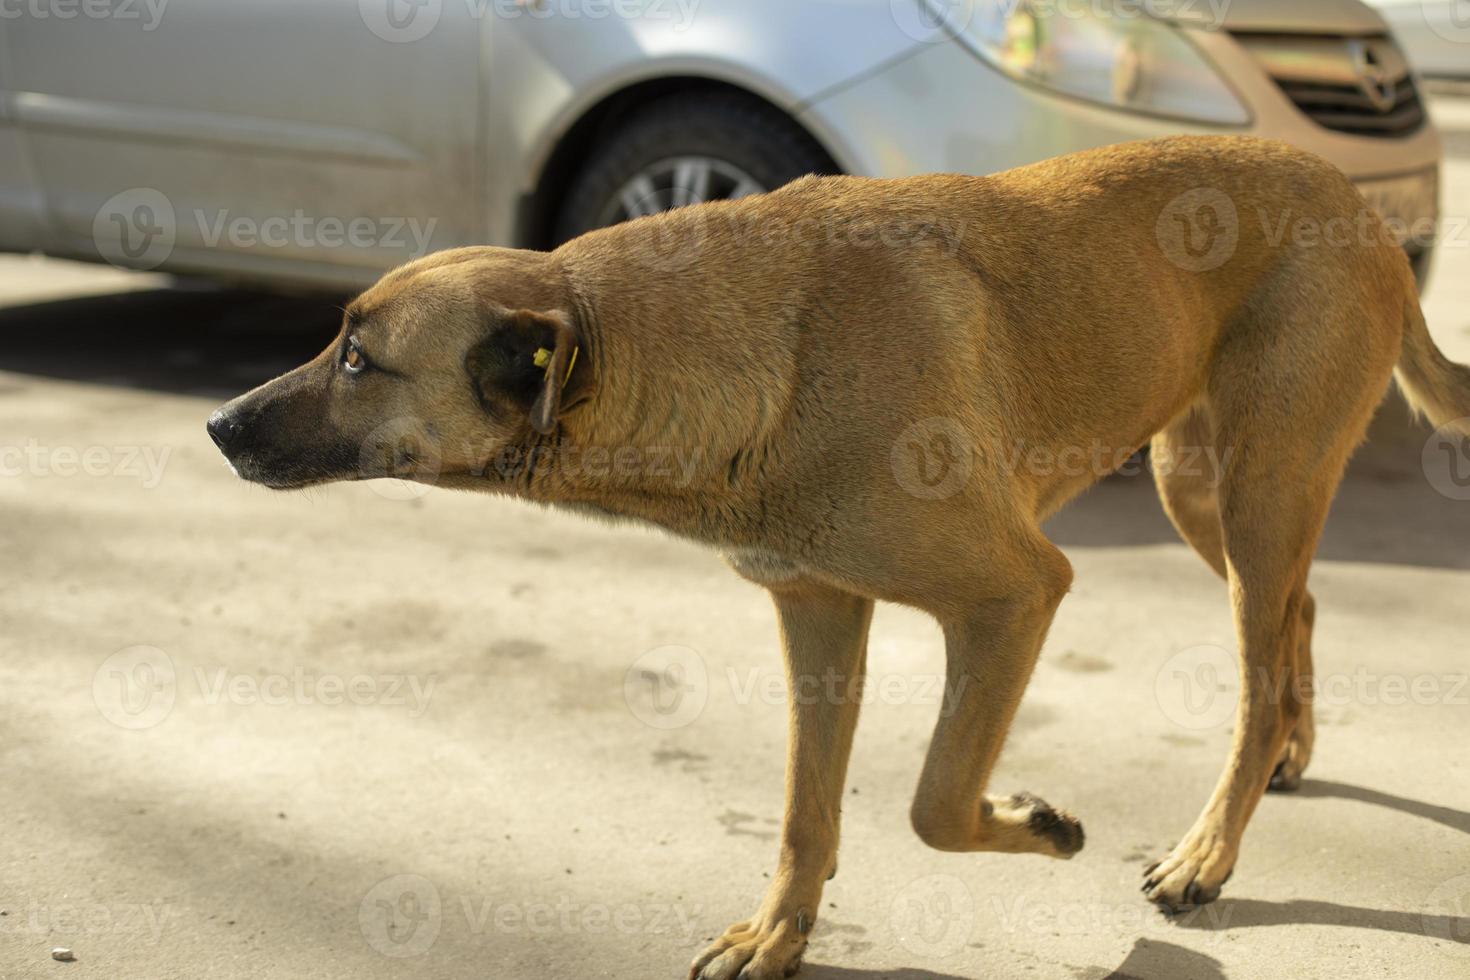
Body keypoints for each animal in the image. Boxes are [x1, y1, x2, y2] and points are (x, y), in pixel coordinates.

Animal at [207, 138, 1470, 980]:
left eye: (359, 358)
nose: (217, 425)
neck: (751, 353)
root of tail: (1356, 201)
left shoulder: (1016, 593)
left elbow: (933, 803)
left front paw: (1039, 823)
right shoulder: (816, 610)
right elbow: (805, 810)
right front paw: (782, 931)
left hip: (1257, 488)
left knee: (1256, 673)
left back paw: (1211, 846)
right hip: (1205, 491)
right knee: (1299, 613)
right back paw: (1288, 755)